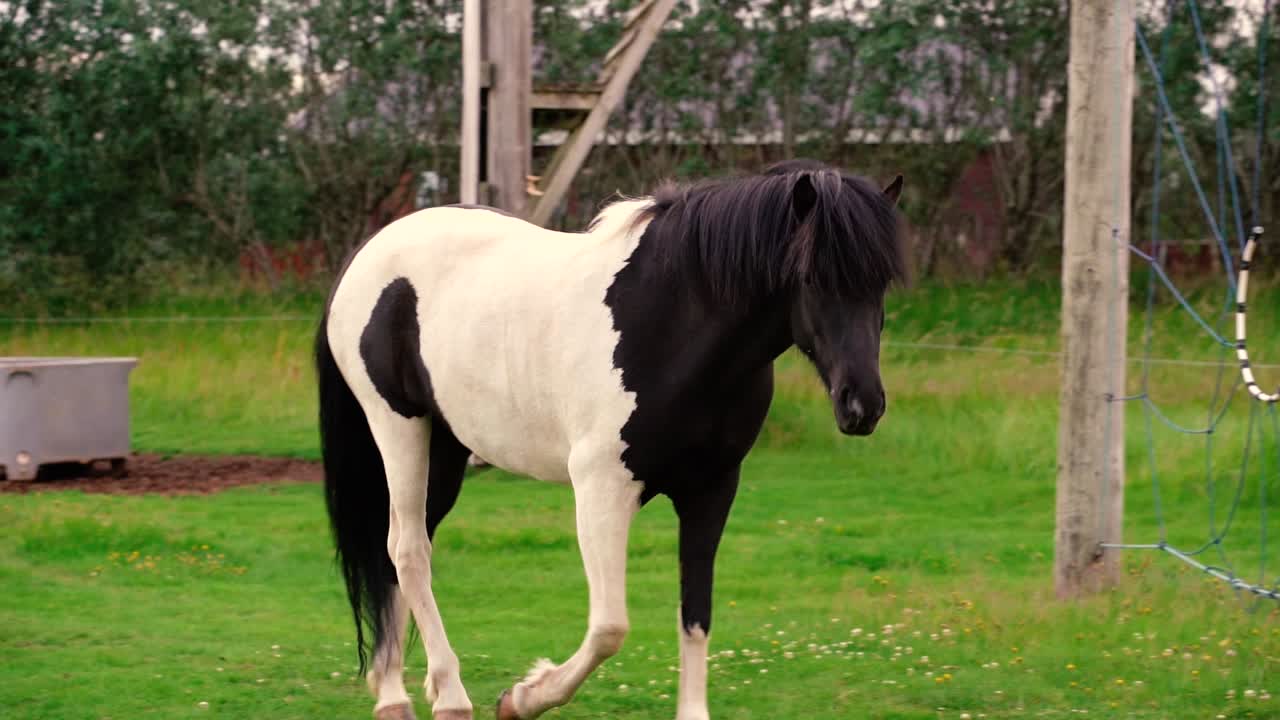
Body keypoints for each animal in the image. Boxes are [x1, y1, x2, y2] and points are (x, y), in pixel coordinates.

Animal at [314, 158, 907, 720]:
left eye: (881, 282)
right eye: (810, 277)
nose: (863, 405)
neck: (668, 321)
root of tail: (366, 256)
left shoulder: (712, 489)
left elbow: (696, 614)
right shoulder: (602, 488)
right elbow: (609, 627)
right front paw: (523, 697)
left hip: (446, 447)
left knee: (396, 549)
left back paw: (394, 691)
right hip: (398, 426)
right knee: (408, 549)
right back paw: (447, 696)